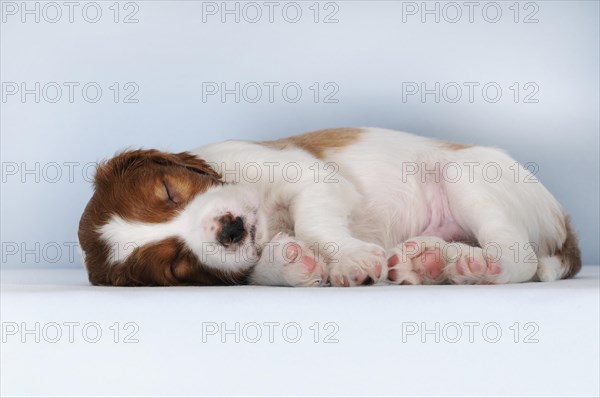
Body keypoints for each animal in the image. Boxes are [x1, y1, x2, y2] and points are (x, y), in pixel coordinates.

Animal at [78, 127, 580, 286]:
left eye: (169, 191)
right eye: (177, 265)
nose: (230, 230)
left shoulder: (311, 176)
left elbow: (313, 222)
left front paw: (351, 258)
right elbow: (262, 266)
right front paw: (293, 263)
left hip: (464, 175)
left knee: (521, 259)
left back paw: (478, 267)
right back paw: (428, 261)